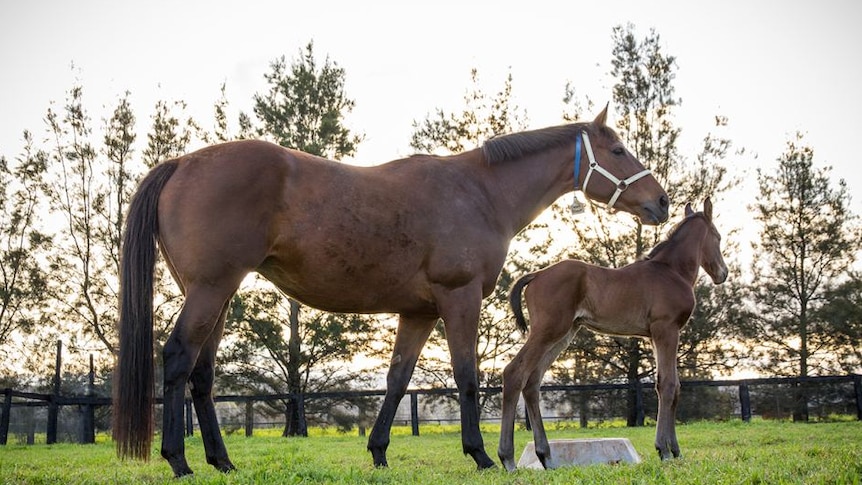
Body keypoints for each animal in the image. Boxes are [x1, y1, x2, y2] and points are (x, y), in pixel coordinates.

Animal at [111, 106, 672, 476]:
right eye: (618, 150)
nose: (662, 202)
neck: (480, 192)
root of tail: (182, 163)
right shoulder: (459, 299)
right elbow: (467, 377)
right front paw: (480, 454)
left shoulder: (418, 313)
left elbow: (398, 380)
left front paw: (379, 451)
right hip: (210, 291)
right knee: (177, 359)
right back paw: (179, 462)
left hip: (216, 296)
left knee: (201, 375)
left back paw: (221, 461)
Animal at [500, 197, 728, 468]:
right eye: (718, 237)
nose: (723, 274)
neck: (671, 271)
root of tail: (536, 275)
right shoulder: (666, 329)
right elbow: (668, 385)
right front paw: (664, 450)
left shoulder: (656, 335)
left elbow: (672, 385)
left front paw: (675, 450)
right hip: (548, 330)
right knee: (514, 373)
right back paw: (508, 459)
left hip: (563, 335)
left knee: (532, 382)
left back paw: (546, 457)